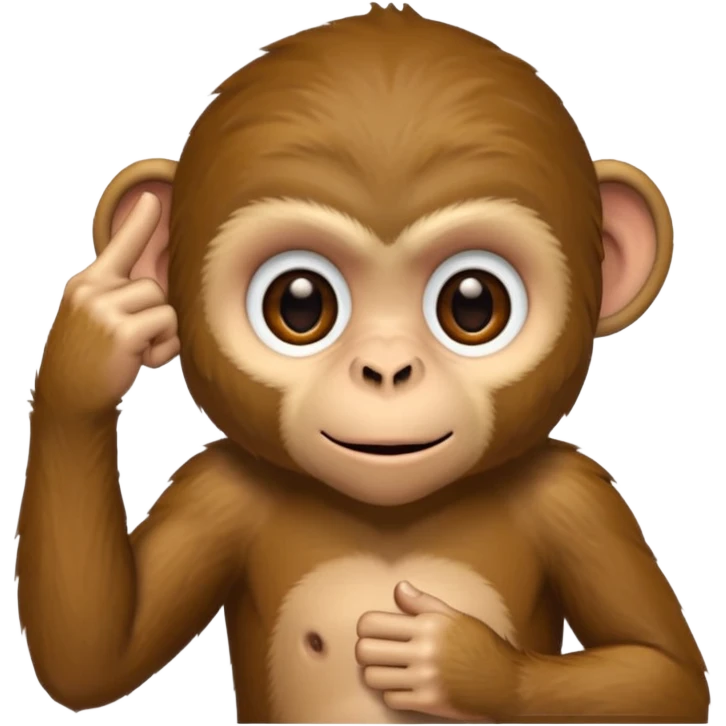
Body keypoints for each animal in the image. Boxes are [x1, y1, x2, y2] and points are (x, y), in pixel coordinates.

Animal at [16, 3, 709, 724]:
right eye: (299, 304)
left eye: (473, 304)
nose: (386, 369)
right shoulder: (215, 491)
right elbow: (95, 656)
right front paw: (97, 342)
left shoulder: (576, 499)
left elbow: (663, 675)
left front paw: (458, 662)